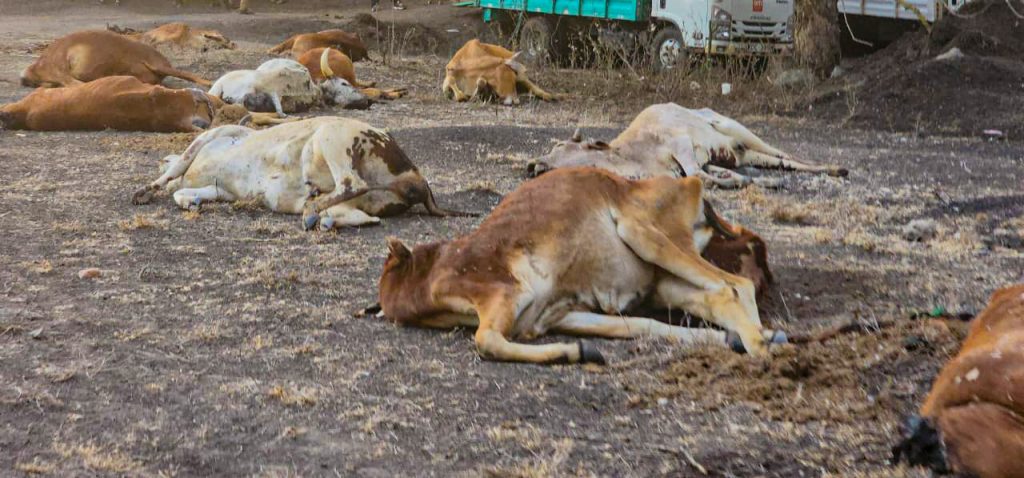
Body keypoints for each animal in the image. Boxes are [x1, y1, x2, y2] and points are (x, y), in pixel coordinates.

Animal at [132, 115, 471, 229]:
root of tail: (417, 177)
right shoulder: (221, 190)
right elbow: (184, 191)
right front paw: (191, 201)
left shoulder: (213, 135)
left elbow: (175, 168)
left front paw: (145, 191)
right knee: (367, 217)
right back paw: (321, 218)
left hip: (332, 137)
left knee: (352, 183)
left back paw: (312, 211)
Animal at [376, 166, 782, 364]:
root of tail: (691, 185)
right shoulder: (557, 315)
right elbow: (639, 326)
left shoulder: (505, 294)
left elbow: (486, 341)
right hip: (665, 276)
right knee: (720, 295)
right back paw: (756, 338)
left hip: (643, 234)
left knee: (733, 286)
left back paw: (764, 349)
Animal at [528, 103, 847, 188]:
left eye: (560, 146)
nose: (532, 163)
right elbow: (711, 176)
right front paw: (748, 181)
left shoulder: (682, 145)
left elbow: (697, 175)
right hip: (744, 153)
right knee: (781, 162)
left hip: (737, 129)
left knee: (785, 153)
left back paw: (836, 168)